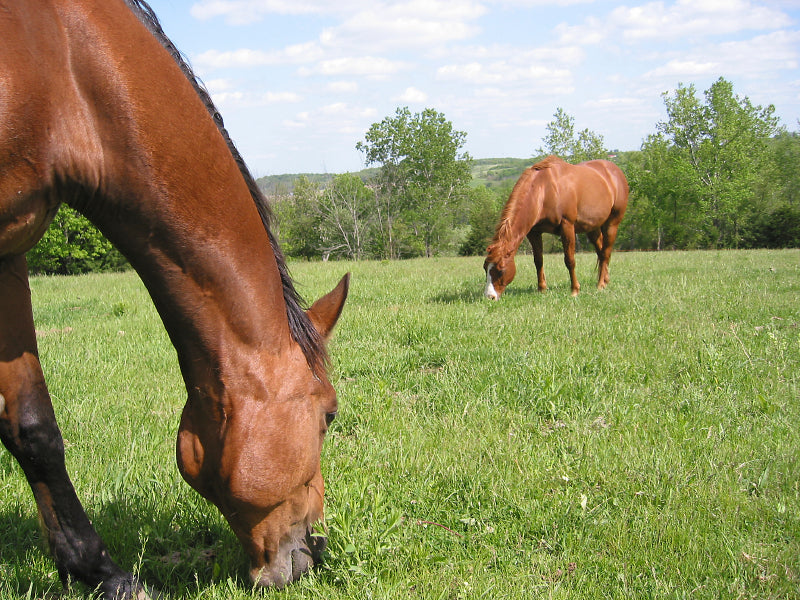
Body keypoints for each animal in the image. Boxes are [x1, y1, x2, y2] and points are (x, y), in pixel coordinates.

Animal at [0, 1, 350, 596]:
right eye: (328, 416)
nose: (315, 551)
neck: (66, 72)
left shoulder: (8, 250)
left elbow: (32, 428)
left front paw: (92, 570)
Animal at [484, 155, 628, 298]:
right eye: (485, 267)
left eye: (501, 270)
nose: (490, 296)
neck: (543, 190)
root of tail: (616, 172)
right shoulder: (534, 232)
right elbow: (538, 260)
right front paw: (542, 289)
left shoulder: (567, 226)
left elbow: (569, 260)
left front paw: (575, 290)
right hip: (592, 227)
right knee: (601, 251)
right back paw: (605, 280)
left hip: (612, 224)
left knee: (605, 252)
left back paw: (601, 284)